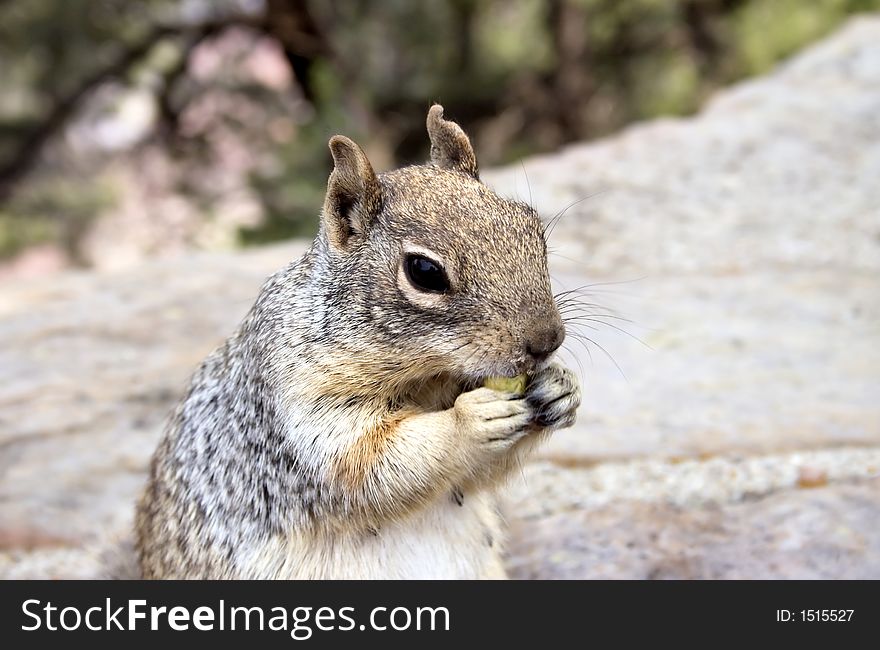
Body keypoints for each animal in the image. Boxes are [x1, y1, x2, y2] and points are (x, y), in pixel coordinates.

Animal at [136, 104, 576, 576]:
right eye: (424, 271)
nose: (547, 341)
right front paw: (470, 420)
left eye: (531, 225)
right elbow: (367, 463)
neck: (429, 375)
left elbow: (477, 476)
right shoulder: (303, 404)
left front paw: (562, 388)